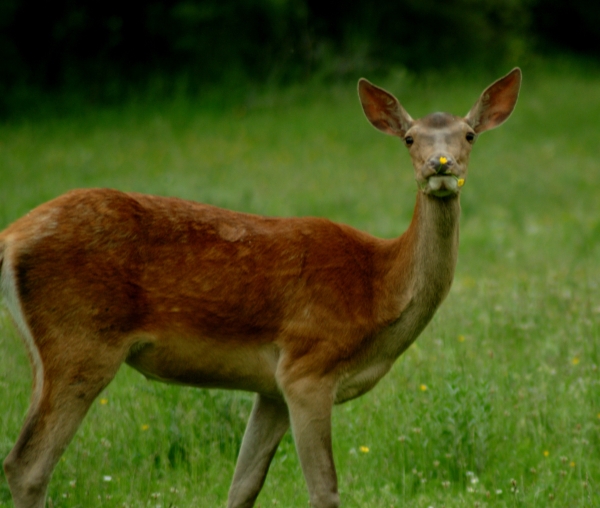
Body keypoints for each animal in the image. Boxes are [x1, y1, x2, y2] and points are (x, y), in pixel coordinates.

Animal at [1, 68, 520, 508]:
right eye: (410, 138)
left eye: (469, 134)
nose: (440, 164)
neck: (377, 290)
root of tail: (11, 237)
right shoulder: (308, 366)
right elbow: (324, 488)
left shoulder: (271, 388)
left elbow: (243, 485)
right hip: (81, 340)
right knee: (27, 465)